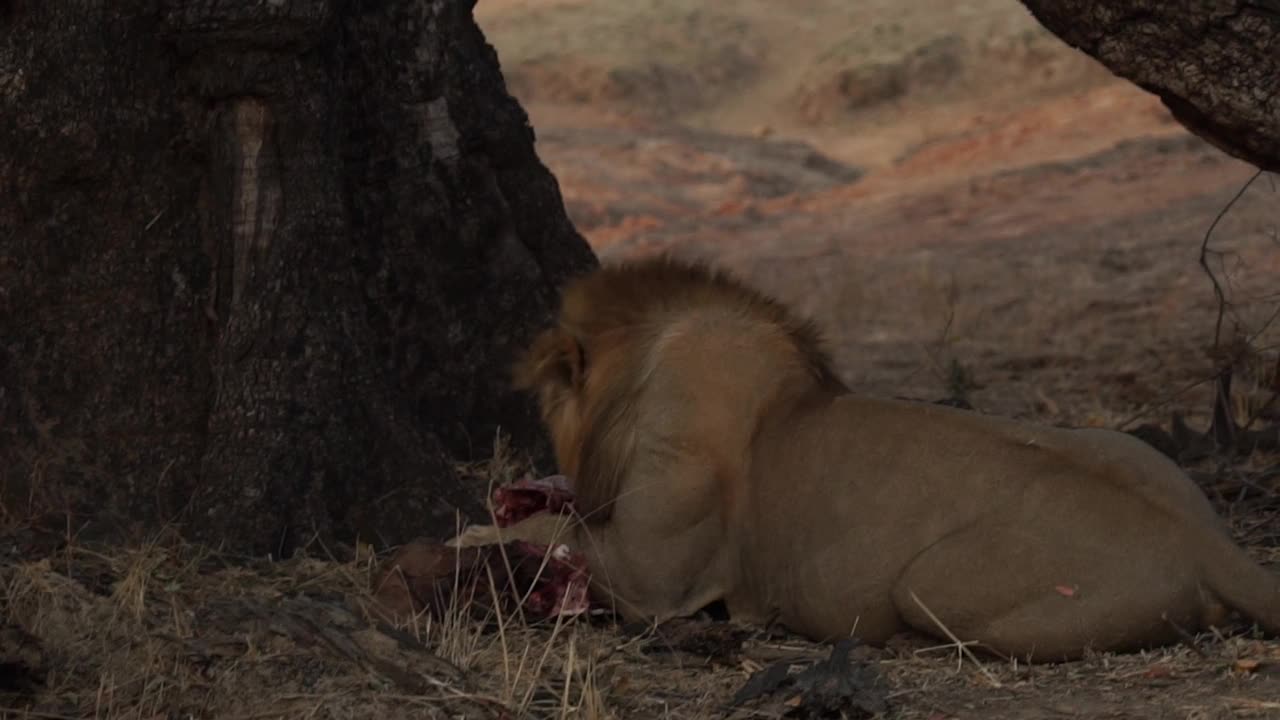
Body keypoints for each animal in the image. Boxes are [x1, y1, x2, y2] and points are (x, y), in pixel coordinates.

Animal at [453, 254, 1280, 661]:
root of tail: (1206, 542)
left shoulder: (652, 578)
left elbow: (547, 534)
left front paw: (474, 531)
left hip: (929, 584)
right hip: (1130, 445)